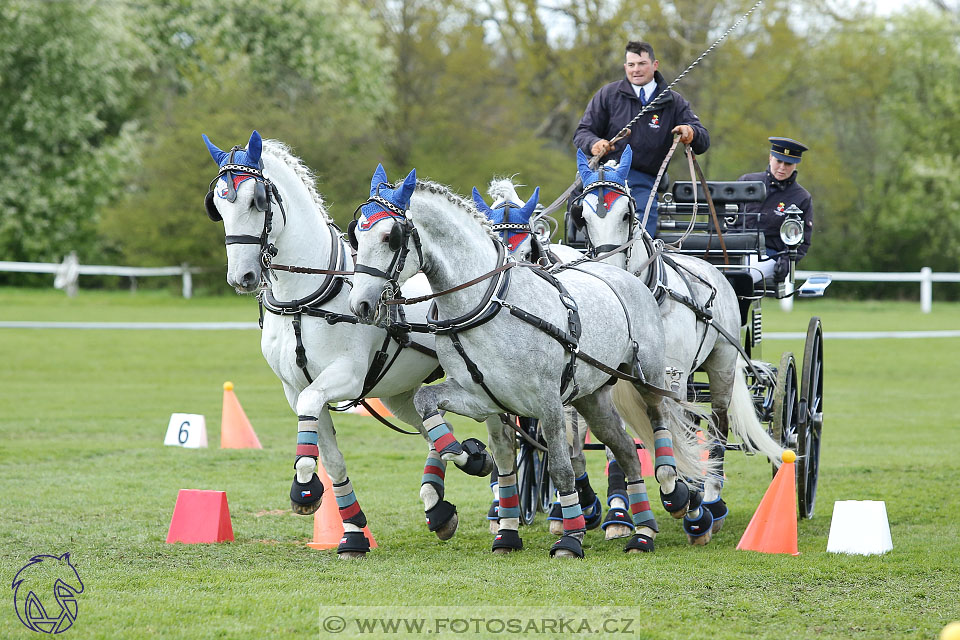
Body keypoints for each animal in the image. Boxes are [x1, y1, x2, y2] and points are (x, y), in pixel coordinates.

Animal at [202, 130, 502, 556]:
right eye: (217, 205)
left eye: (256, 200)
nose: (241, 276)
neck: (304, 300)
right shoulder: (294, 387)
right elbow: (331, 457)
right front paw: (352, 530)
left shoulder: (344, 376)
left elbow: (313, 411)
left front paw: (305, 487)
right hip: (399, 392)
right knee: (433, 428)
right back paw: (442, 499)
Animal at [348, 166, 708, 560]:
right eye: (356, 234)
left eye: (391, 236)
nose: (359, 304)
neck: (488, 303)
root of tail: (623, 273)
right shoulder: (482, 398)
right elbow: (433, 407)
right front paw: (469, 459)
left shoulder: (548, 402)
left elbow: (562, 467)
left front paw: (570, 537)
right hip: (590, 396)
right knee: (626, 451)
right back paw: (642, 531)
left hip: (648, 377)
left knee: (659, 420)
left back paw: (673, 491)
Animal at [568, 148, 788, 544]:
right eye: (583, 216)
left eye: (627, 214)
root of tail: (712, 266)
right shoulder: (612, 380)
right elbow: (617, 446)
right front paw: (620, 514)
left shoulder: (672, 375)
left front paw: (685, 499)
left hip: (720, 367)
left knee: (716, 427)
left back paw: (712, 500)